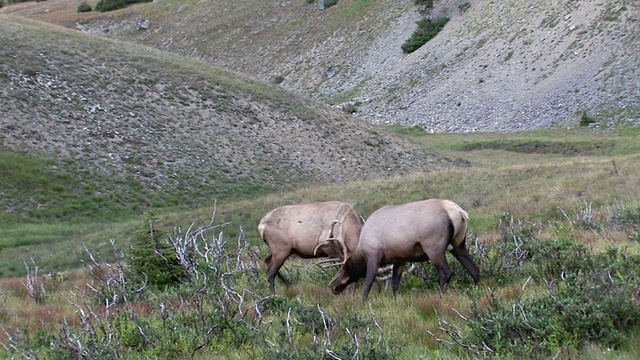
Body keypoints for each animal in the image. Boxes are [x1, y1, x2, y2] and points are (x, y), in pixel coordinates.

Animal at [332, 198, 478, 302]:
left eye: (344, 267)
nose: (333, 286)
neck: (361, 250)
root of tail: (459, 212)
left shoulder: (374, 255)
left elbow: (368, 284)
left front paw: (362, 303)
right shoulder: (399, 259)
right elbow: (395, 283)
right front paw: (395, 300)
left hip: (434, 248)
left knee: (447, 272)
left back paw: (440, 297)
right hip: (458, 244)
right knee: (474, 268)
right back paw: (478, 289)